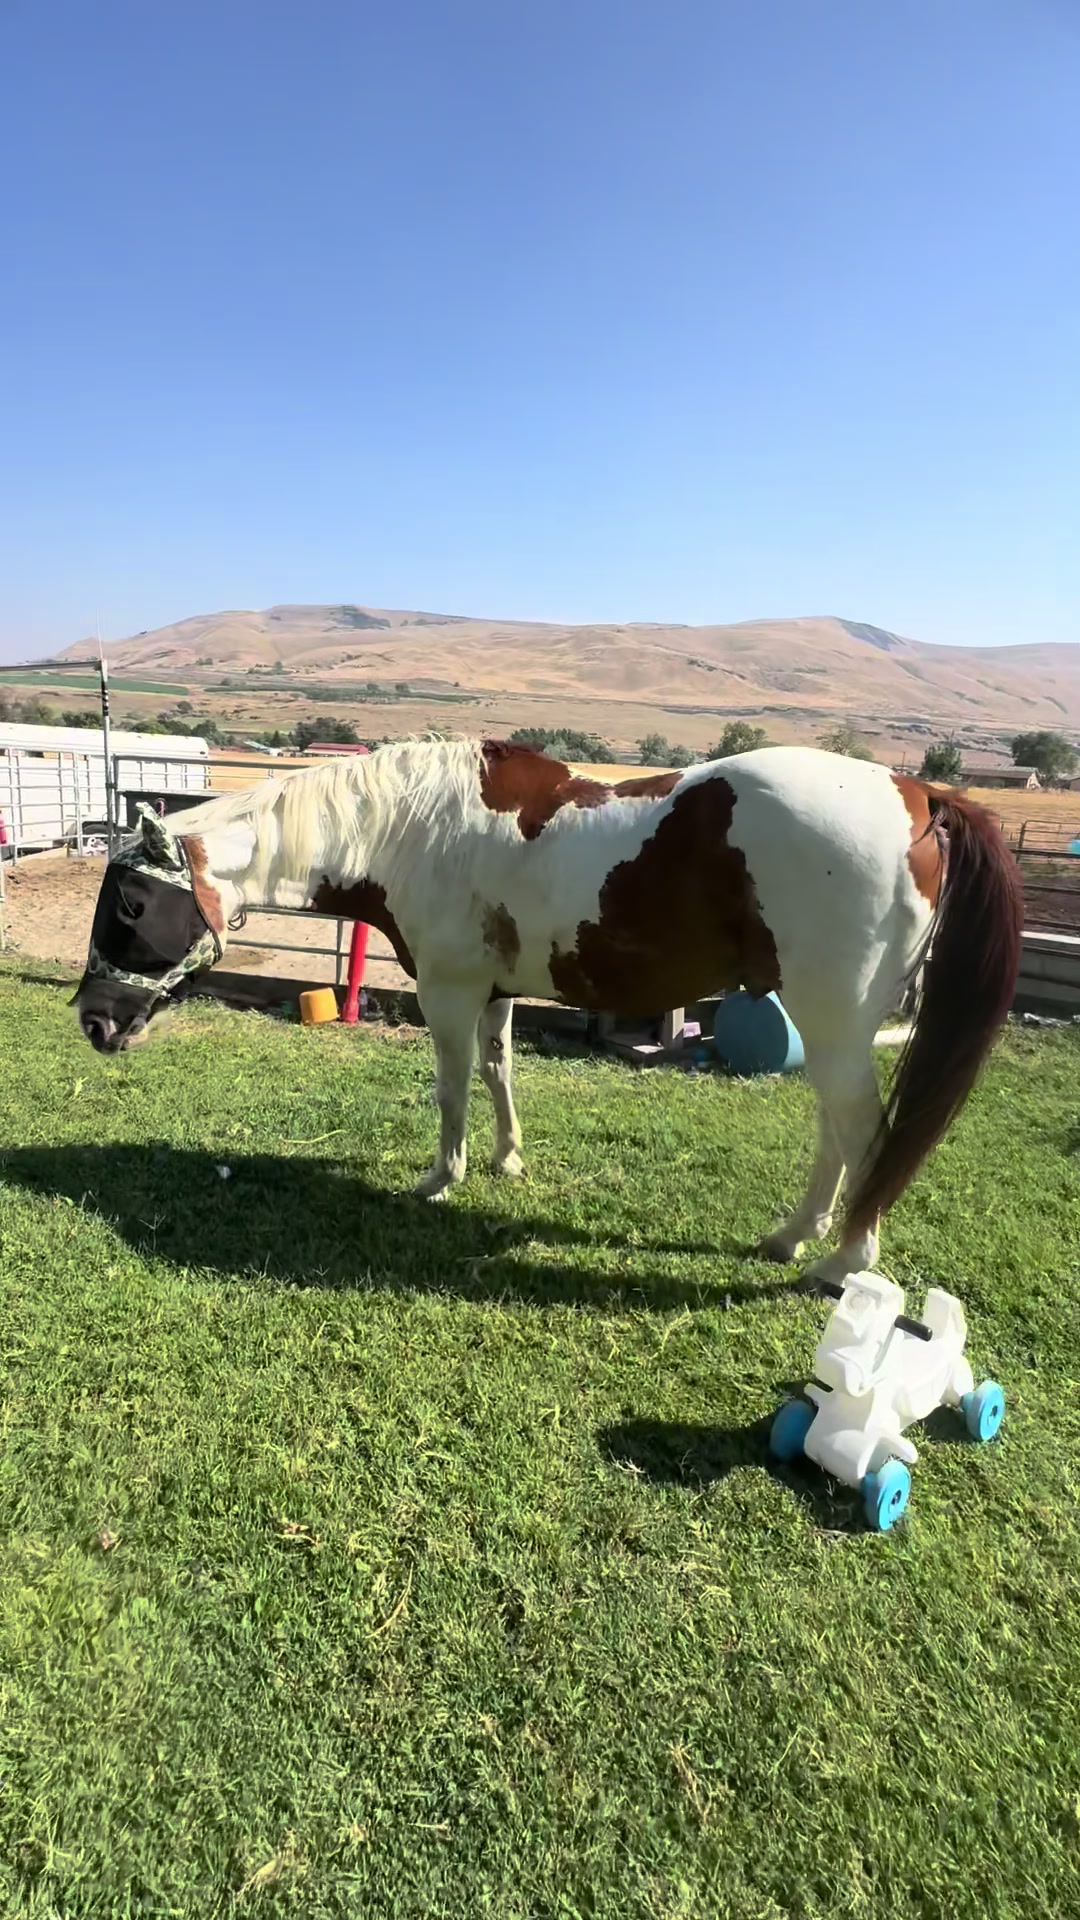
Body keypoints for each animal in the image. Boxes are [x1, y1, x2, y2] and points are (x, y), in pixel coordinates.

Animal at [73, 738, 1023, 1287]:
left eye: (129, 904)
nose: (91, 1022)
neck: (408, 825)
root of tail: (920, 794)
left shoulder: (449, 993)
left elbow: (452, 1088)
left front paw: (441, 1179)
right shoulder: (494, 995)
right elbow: (499, 1073)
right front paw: (507, 1160)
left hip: (830, 1021)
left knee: (862, 1133)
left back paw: (842, 1262)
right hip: (832, 1025)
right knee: (838, 1132)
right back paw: (792, 1236)